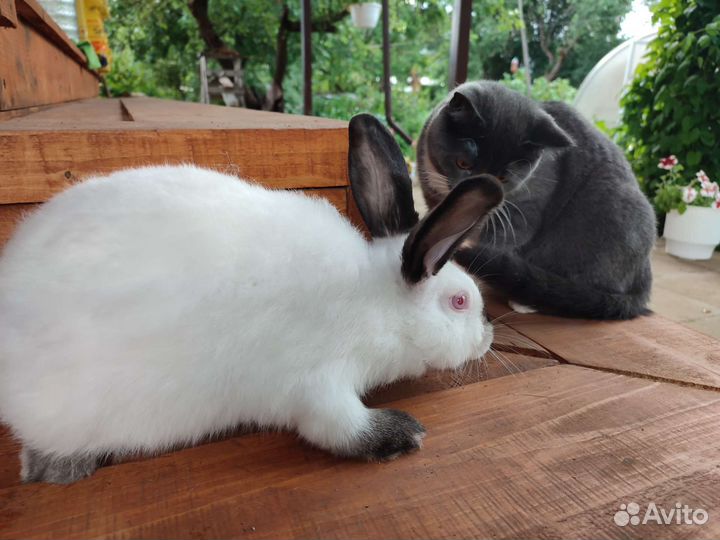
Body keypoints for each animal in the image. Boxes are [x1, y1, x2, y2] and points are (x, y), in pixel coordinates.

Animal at [0, 114, 503, 484]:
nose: (488, 337)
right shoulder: (319, 383)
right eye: (460, 302)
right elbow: (342, 428)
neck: (378, 301)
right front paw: (404, 433)